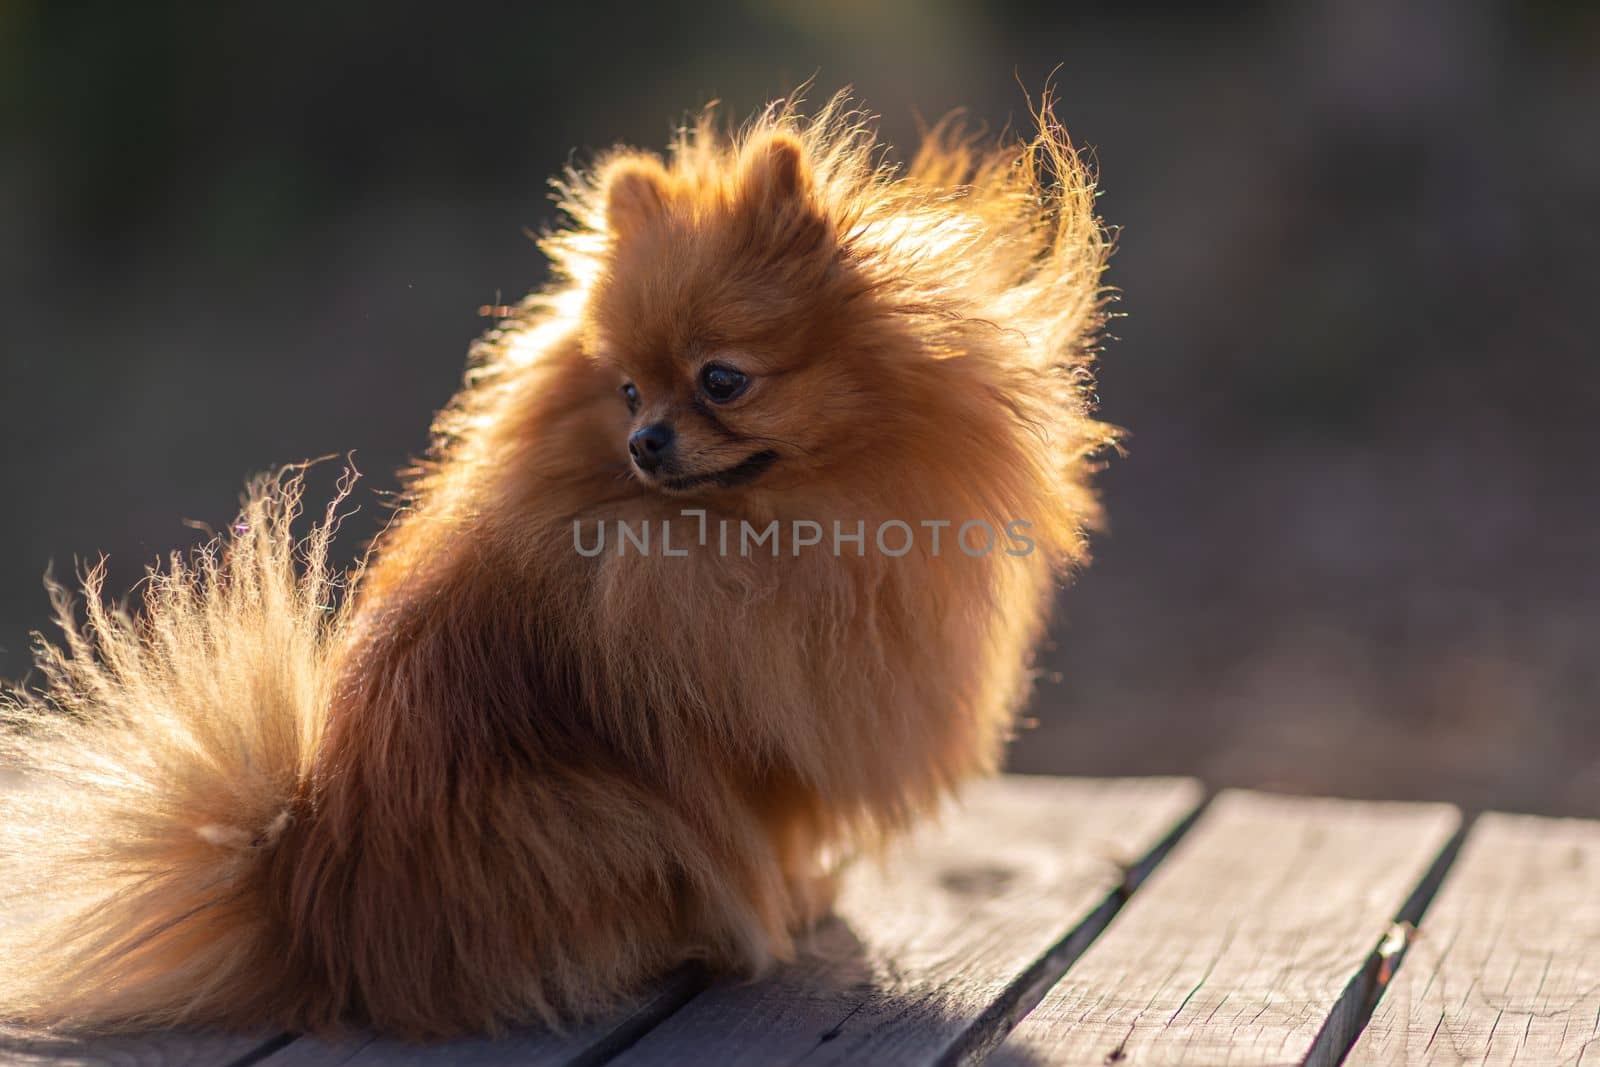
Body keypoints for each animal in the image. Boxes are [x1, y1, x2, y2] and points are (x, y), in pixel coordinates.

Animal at [0, 93, 1113, 1043]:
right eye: (626, 391)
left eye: (721, 380)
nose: (646, 442)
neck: (761, 527)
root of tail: (316, 901)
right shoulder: (736, 726)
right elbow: (762, 831)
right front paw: (795, 902)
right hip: (585, 817)